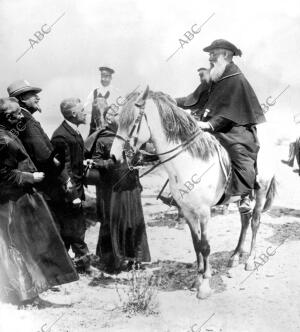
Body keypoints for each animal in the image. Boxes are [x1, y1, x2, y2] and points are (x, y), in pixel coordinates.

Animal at [110, 87, 276, 298]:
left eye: (133, 121)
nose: (113, 156)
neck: (188, 161)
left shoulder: (204, 212)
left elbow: (205, 246)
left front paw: (204, 285)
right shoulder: (188, 211)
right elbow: (196, 244)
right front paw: (197, 279)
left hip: (261, 190)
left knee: (255, 222)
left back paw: (250, 260)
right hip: (241, 198)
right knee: (245, 221)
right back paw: (235, 255)